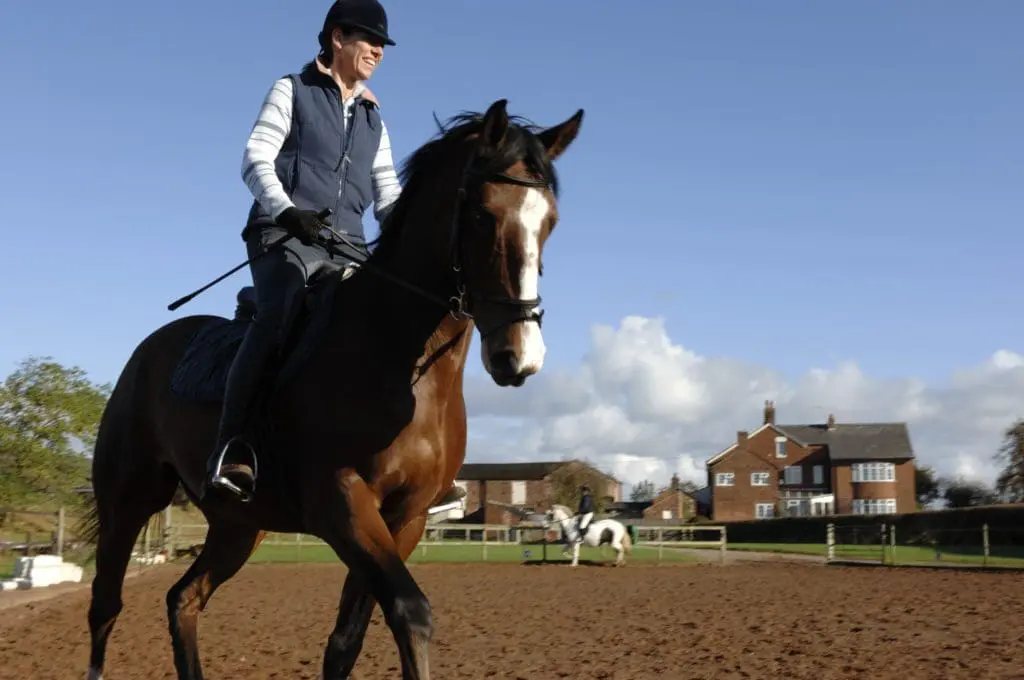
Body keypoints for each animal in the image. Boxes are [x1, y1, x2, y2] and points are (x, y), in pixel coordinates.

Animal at [79, 98, 583, 680]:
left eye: (550, 222)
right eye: (483, 215)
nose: (518, 356)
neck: (398, 359)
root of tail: (149, 350)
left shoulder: (406, 518)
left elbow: (347, 638)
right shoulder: (340, 500)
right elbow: (410, 611)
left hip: (238, 526)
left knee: (183, 598)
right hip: (128, 502)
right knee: (105, 606)